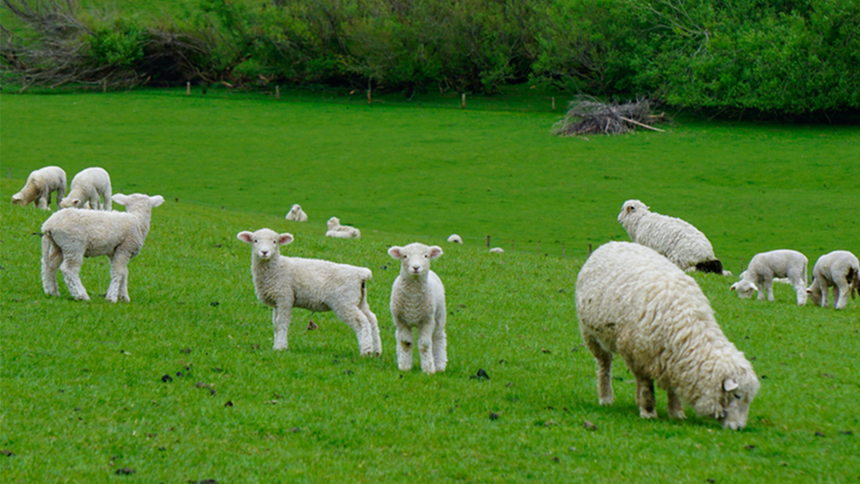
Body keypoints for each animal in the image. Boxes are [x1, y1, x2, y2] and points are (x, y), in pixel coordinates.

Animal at [237, 228, 381, 355]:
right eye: (255, 240)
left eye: (274, 241)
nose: (264, 252)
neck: (277, 268)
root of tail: (361, 273)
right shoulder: (277, 301)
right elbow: (276, 324)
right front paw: (277, 345)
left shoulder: (285, 297)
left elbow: (282, 323)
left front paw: (280, 347)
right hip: (359, 300)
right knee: (372, 319)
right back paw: (377, 351)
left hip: (344, 301)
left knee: (362, 322)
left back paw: (366, 351)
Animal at [388, 243, 447, 374]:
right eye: (405, 256)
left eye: (426, 255)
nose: (416, 267)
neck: (412, 300)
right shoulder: (400, 320)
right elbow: (405, 343)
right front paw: (404, 366)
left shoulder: (427, 320)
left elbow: (424, 345)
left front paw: (428, 369)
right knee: (398, 336)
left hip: (439, 314)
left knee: (439, 337)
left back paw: (440, 365)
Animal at [575, 241, 760, 430]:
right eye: (737, 395)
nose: (739, 428)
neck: (687, 329)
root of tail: (610, 244)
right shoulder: (641, 354)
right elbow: (646, 386)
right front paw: (648, 412)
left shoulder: (670, 357)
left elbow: (672, 386)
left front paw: (676, 413)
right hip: (590, 334)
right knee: (604, 365)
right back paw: (606, 398)